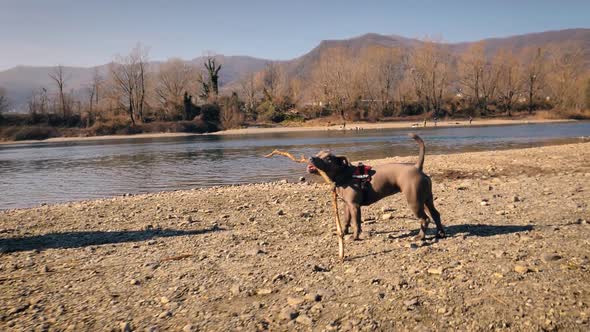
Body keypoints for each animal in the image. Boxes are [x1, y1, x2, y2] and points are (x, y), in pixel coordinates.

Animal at [310, 133, 444, 241]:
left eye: (328, 158)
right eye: (317, 154)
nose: (311, 158)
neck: (344, 174)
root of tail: (417, 167)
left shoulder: (354, 206)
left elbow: (356, 223)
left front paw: (355, 237)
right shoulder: (346, 205)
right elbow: (346, 221)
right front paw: (343, 233)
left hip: (414, 202)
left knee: (425, 219)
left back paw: (420, 237)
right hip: (426, 200)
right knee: (436, 214)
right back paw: (440, 233)